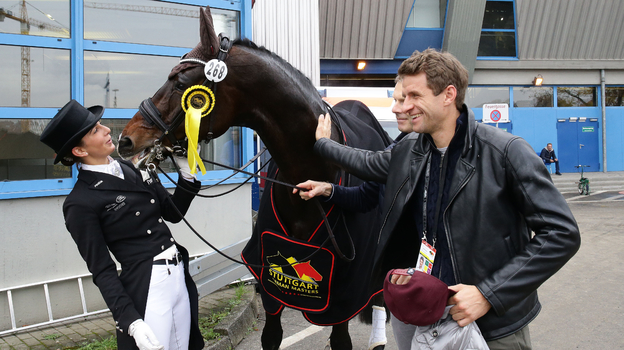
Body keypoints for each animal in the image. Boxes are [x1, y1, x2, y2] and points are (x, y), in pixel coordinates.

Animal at [117, 6, 388, 350]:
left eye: (180, 84)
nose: (126, 140)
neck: (308, 180)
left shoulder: (343, 296)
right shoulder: (270, 286)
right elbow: (270, 336)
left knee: (379, 297)